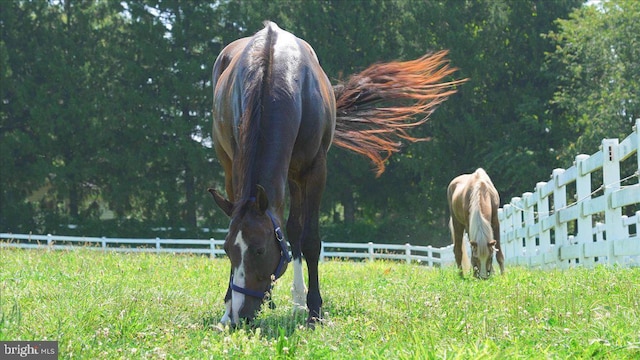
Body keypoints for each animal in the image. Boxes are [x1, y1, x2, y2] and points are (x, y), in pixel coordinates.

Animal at [210, 21, 464, 326]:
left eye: (259, 249)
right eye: (227, 250)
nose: (239, 316)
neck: (276, 74)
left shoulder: (315, 170)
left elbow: (310, 240)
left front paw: (314, 311)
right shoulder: (236, 165)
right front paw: (227, 305)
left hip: (295, 174)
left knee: (295, 231)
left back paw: (297, 301)